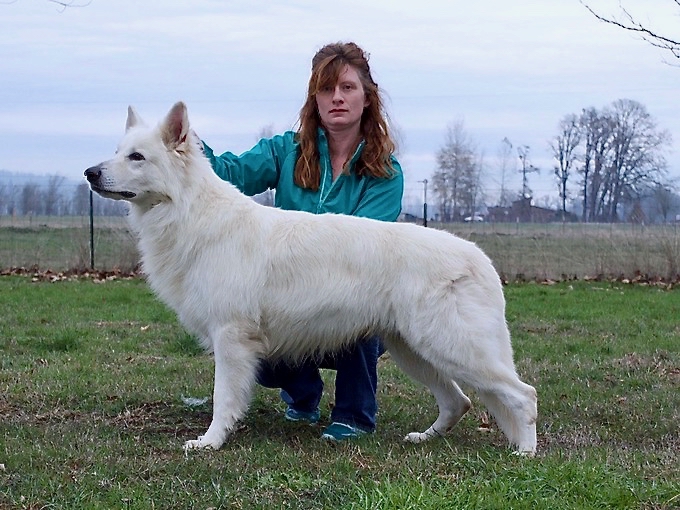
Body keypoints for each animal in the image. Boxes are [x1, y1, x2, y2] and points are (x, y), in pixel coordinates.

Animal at [86, 101, 536, 452]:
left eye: (137, 157)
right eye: (117, 152)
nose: (90, 173)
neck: (190, 211)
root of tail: (482, 260)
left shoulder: (231, 337)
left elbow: (221, 399)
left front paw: (211, 441)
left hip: (452, 348)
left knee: (523, 396)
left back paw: (525, 454)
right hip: (416, 350)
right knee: (458, 401)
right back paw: (425, 438)